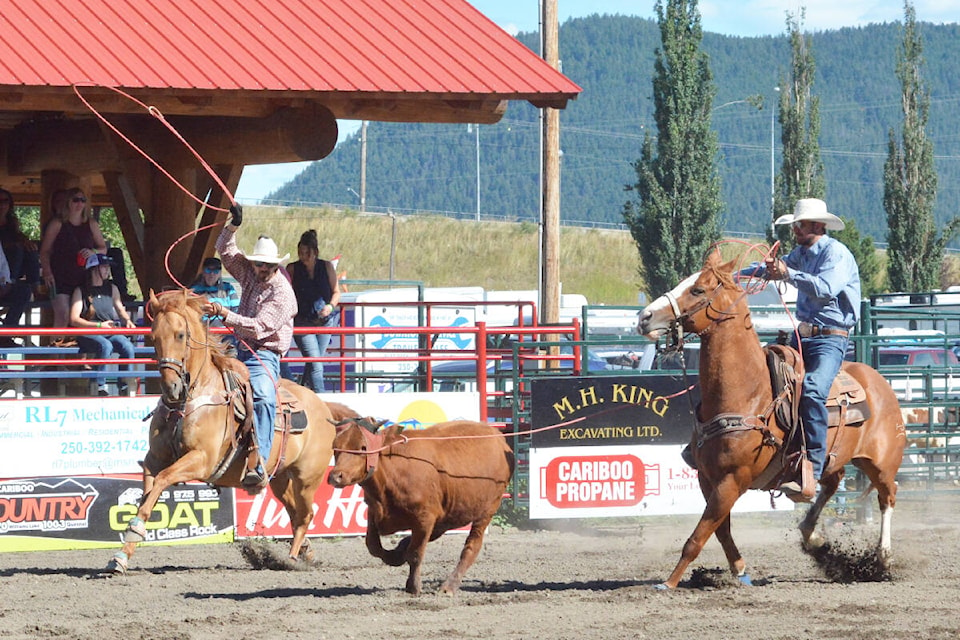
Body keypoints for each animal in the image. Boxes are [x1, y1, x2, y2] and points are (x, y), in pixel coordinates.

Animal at [104, 290, 338, 576]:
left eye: (180, 335)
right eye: (153, 336)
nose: (171, 388)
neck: (190, 399)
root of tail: (324, 406)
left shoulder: (201, 459)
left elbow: (162, 480)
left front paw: (130, 538)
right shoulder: (154, 460)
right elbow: (148, 496)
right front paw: (121, 556)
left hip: (307, 478)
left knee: (305, 516)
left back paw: (291, 559)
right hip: (281, 478)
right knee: (295, 515)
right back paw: (306, 552)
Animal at [636, 251, 908, 592]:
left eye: (697, 290)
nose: (644, 317)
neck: (748, 393)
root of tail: (877, 380)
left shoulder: (733, 479)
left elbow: (699, 535)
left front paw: (669, 583)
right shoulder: (707, 477)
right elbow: (719, 529)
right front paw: (740, 570)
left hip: (881, 462)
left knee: (888, 496)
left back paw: (883, 558)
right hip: (833, 459)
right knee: (830, 484)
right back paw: (813, 536)